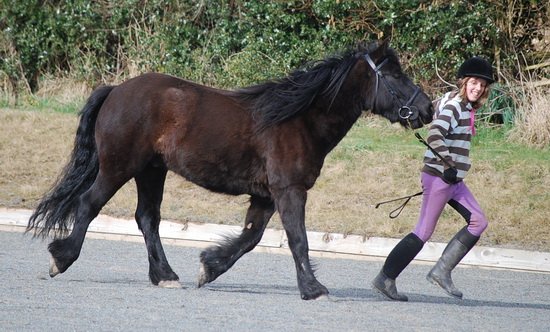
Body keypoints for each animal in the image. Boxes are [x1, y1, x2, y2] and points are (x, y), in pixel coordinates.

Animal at [27, 40, 436, 300]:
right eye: (394, 76)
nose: (427, 108)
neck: (297, 119)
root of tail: (115, 90)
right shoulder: (289, 190)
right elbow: (297, 239)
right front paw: (313, 290)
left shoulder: (266, 195)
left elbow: (251, 238)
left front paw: (209, 267)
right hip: (119, 166)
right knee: (88, 204)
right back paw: (60, 259)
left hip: (151, 170)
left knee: (147, 219)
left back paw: (165, 276)